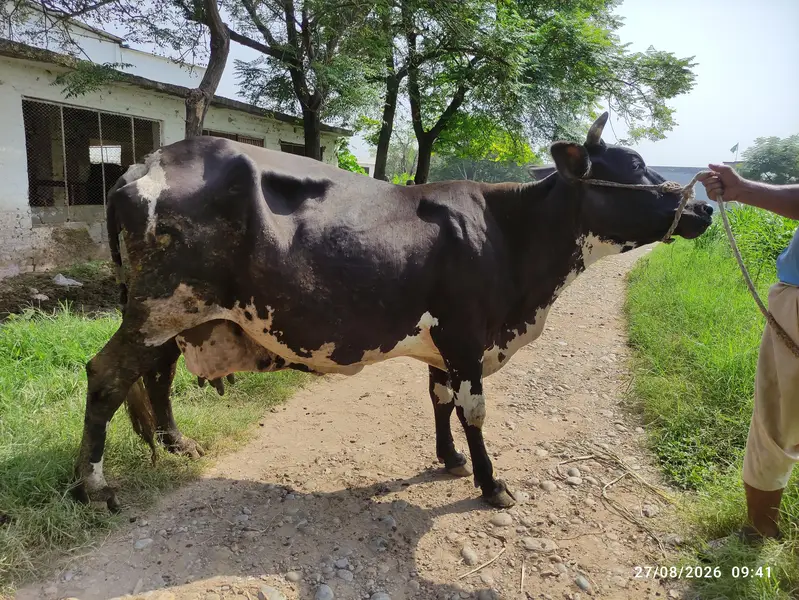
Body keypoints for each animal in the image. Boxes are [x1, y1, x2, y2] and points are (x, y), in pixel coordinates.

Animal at [72, 112, 713, 511]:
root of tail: (145, 163)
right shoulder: (466, 336)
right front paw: (491, 484)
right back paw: (91, 485)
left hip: (172, 316)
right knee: (106, 377)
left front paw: (449, 459)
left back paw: (176, 444)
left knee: (156, 376)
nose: (704, 208)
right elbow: (474, 411)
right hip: (158, 308)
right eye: (634, 165)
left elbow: (439, 399)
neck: (509, 233)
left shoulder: (443, 343)